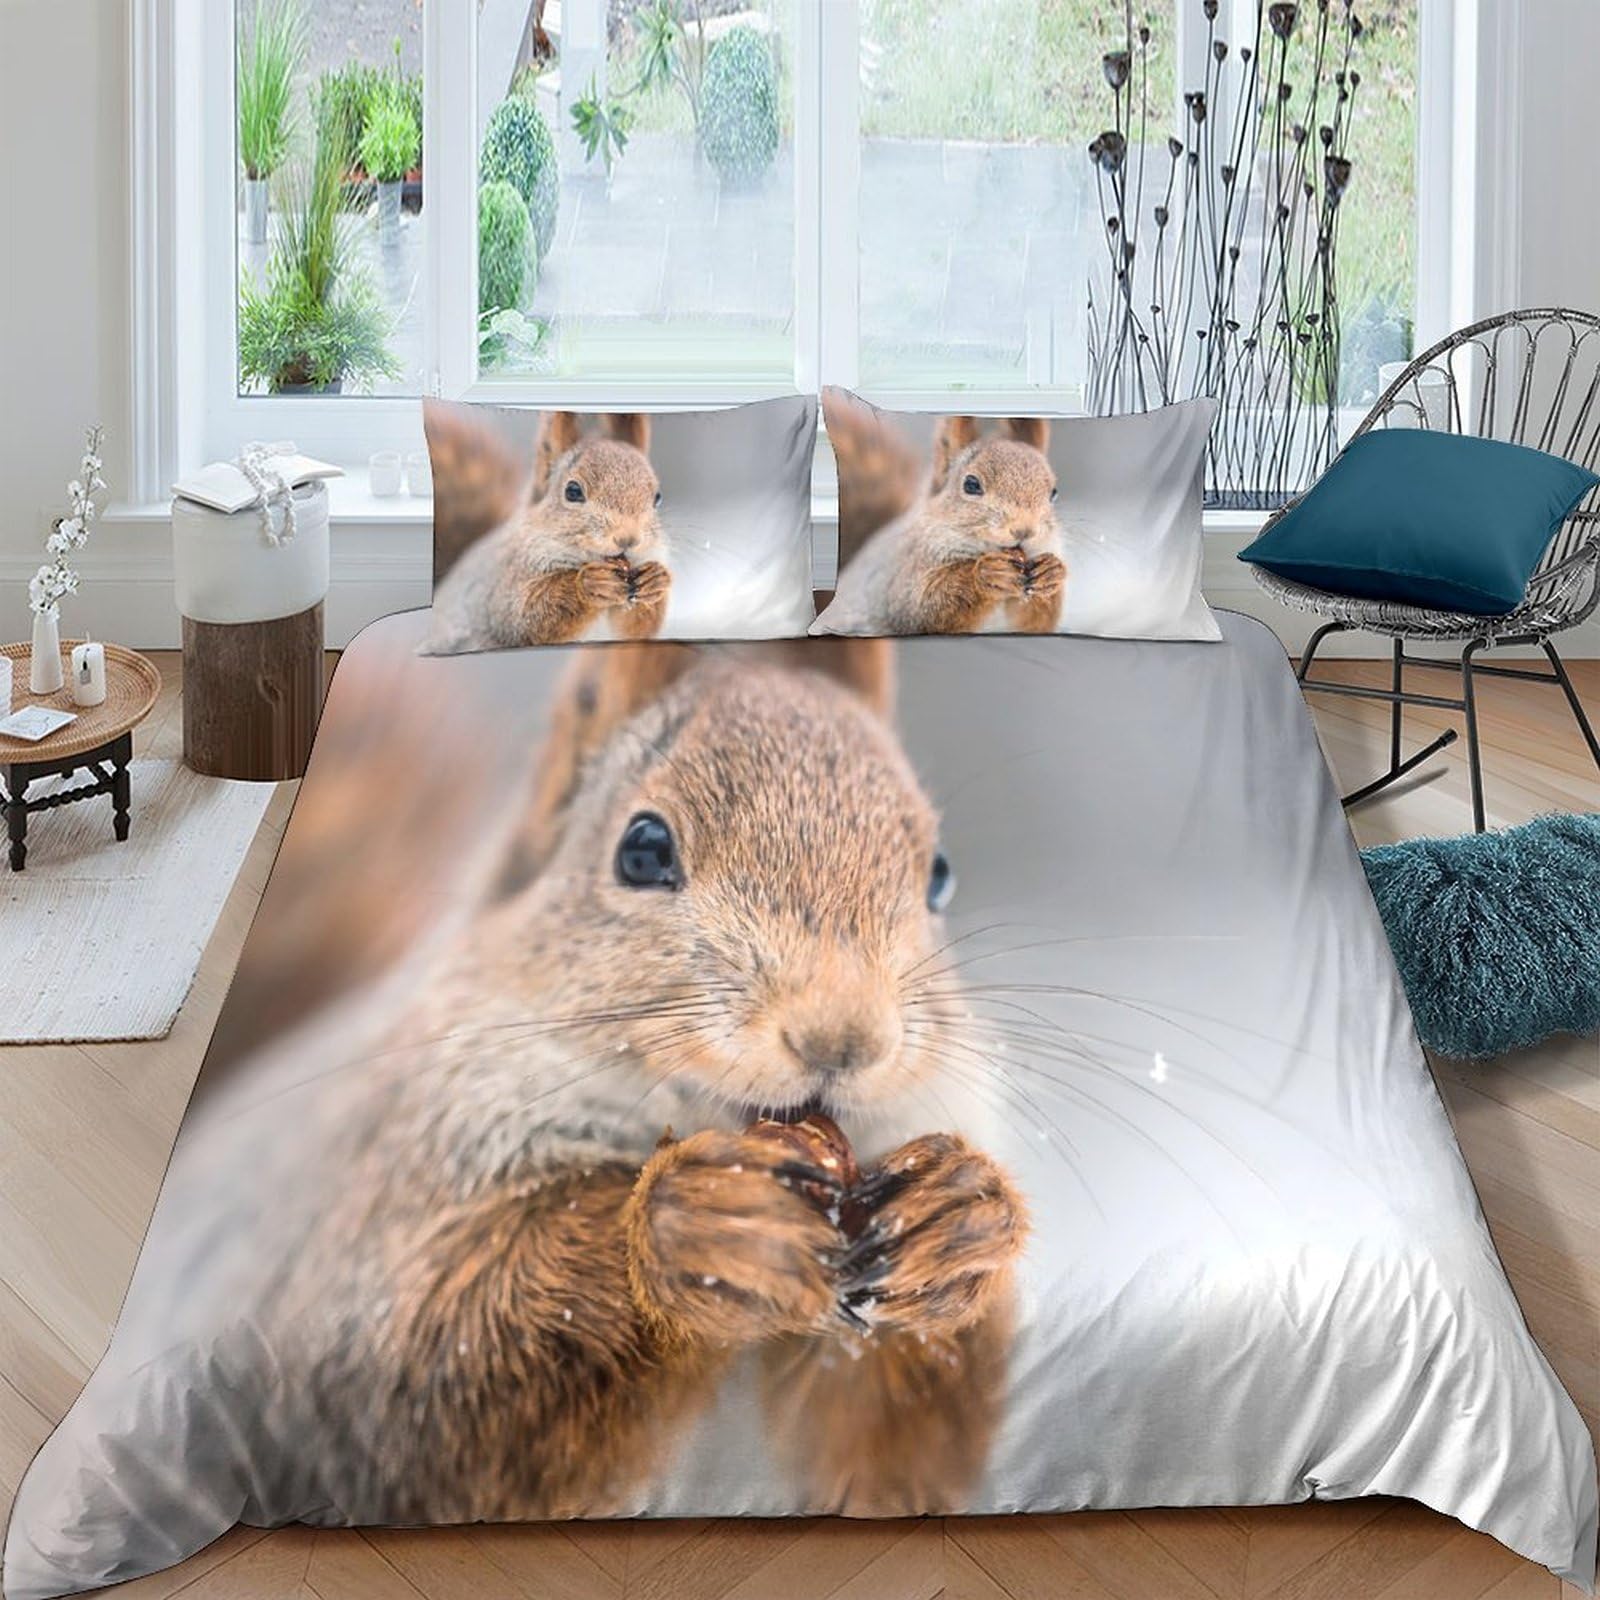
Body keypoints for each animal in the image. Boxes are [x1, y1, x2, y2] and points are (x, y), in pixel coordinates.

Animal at [215, 638, 1029, 1524]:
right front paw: (691, 1223)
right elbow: (446, 1375)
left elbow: (886, 1460)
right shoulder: (372, 1221)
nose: (844, 1037)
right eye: (642, 850)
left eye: (940, 875)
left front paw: (959, 1216)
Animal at [423, 406, 672, 651]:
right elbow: (522, 616)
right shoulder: (504, 583)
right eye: (573, 491)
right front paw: (589, 584)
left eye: (658, 497)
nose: (628, 538)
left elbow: (636, 630)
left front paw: (656, 581)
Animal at [823, 391, 1067, 635]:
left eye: (1054, 493)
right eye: (971, 484)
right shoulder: (902, 575)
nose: (1024, 530)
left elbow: (1034, 622)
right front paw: (986, 573)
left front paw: (1052, 573)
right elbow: (922, 606)